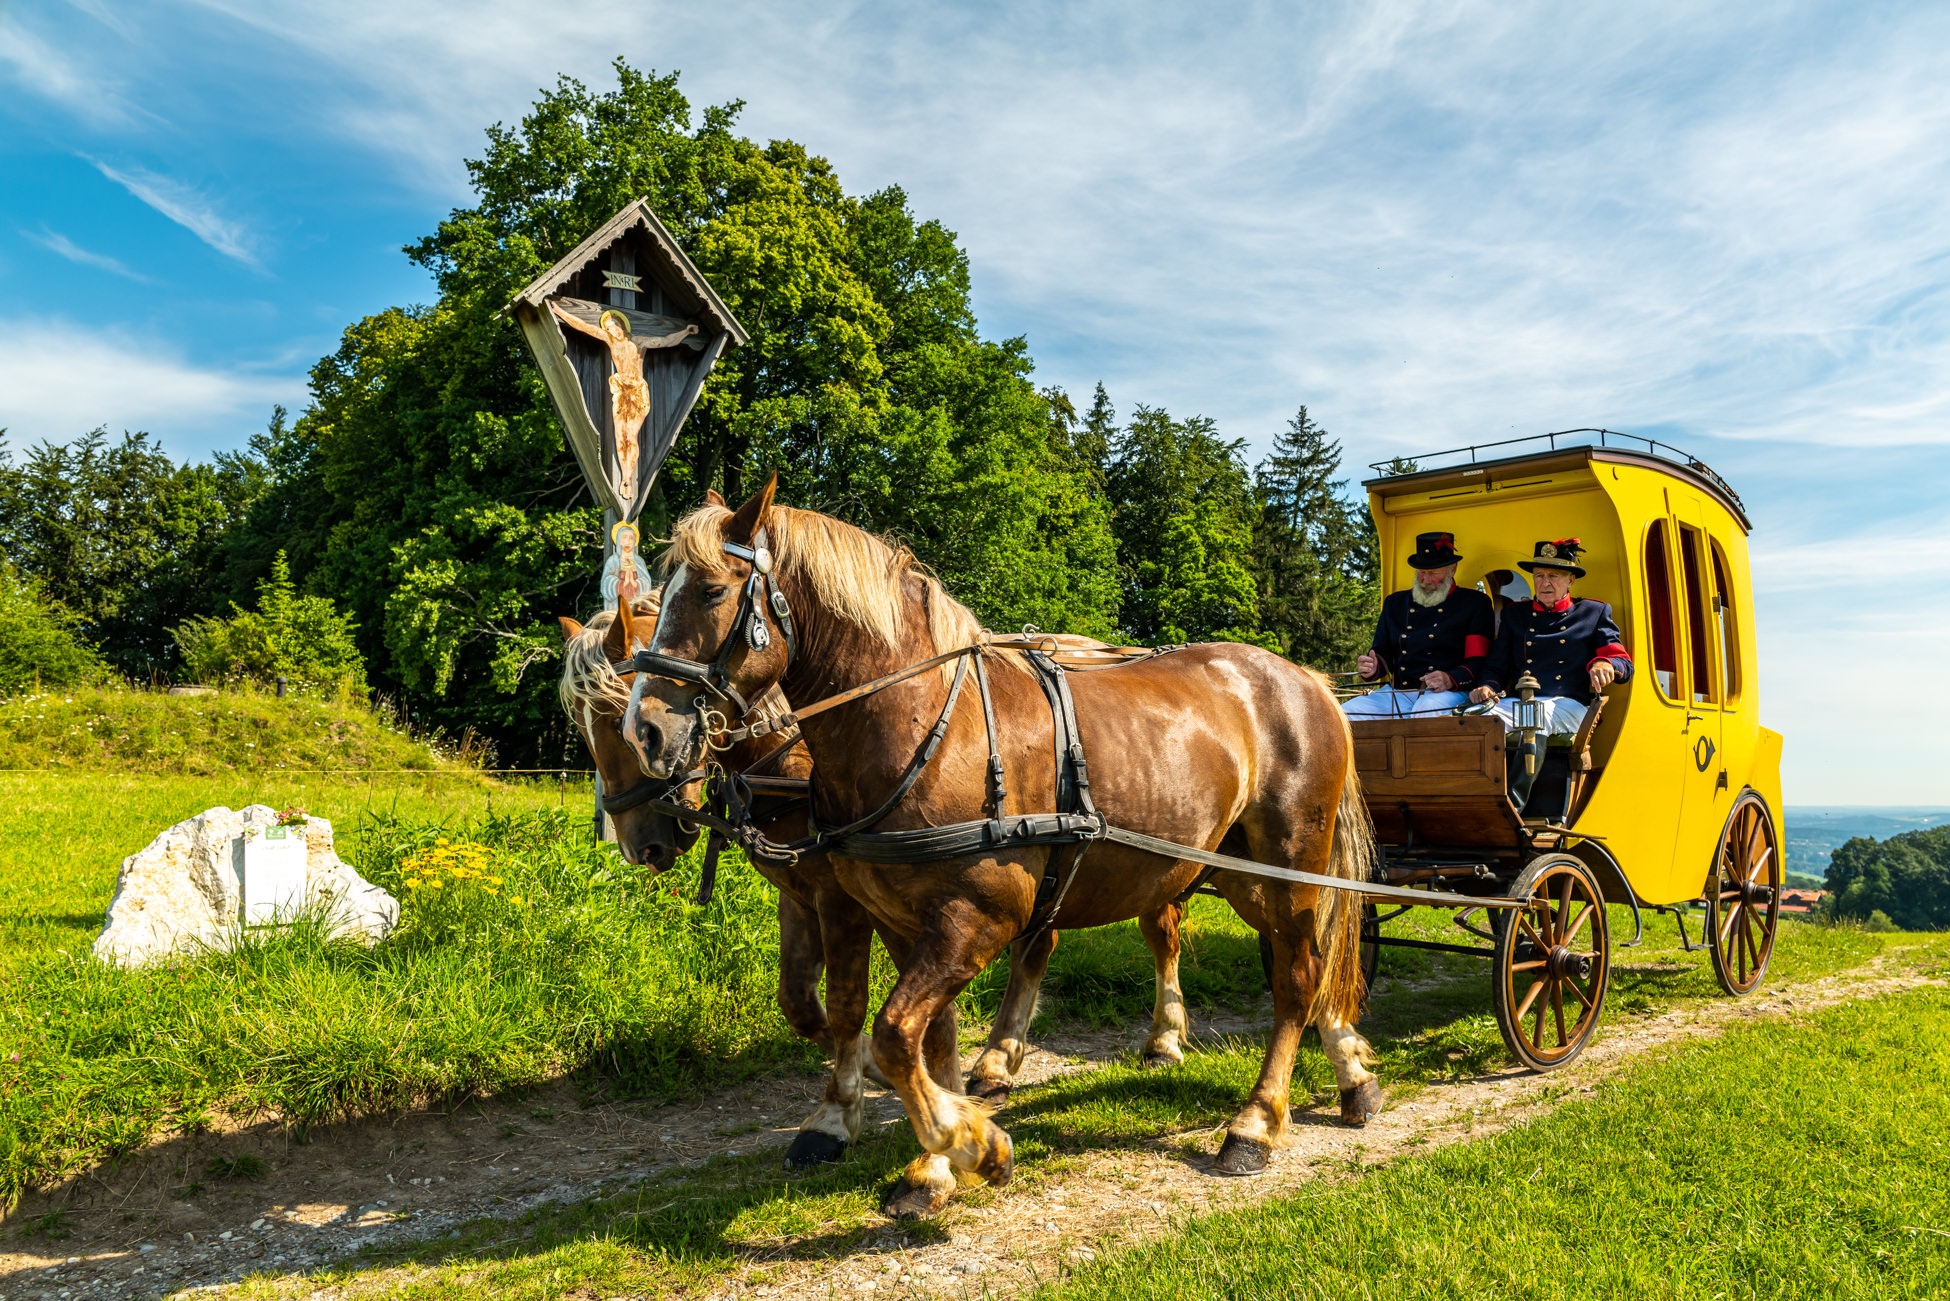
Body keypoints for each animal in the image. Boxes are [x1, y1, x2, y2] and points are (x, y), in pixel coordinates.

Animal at [557, 596, 1201, 1162]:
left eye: (617, 718)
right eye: (587, 725)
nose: (642, 846)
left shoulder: (847, 899)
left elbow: (852, 1001)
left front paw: (854, 1106)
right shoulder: (802, 894)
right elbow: (799, 1001)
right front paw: (886, 1075)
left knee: (1156, 933)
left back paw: (1163, 1040)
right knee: (1041, 944)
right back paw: (999, 1059)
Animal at [631, 481, 1380, 1224]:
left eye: (710, 592)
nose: (646, 729)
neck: (922, 723)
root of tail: (1304, 677)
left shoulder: (975, 917)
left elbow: (894, 1033)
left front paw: (973, 1142)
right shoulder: (902, 922)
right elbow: (925, 1041)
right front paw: (936, 1165)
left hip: (1290, 863)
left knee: (1297, 977)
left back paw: (1257, 1121)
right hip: (1242, 870)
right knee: (1312, 961)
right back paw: (1351, 1071)